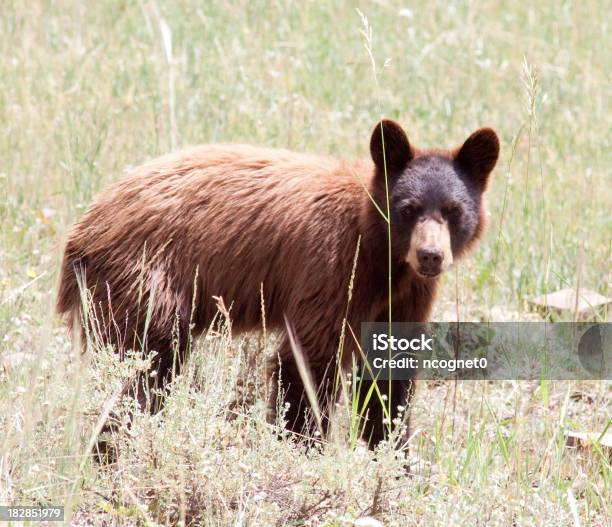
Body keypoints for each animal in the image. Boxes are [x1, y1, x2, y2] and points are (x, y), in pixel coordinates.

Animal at [56, 121, 498, 448]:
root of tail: (84, 227)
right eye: (408, 208)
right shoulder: (334, 267)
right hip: (144, 278)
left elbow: (389, 373)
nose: (430, 256)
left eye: (454, 210)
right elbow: (310, 360)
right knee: (144, 366)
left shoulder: (407, 295)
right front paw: (302, 450)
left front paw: (392, 459)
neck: (383, 254)